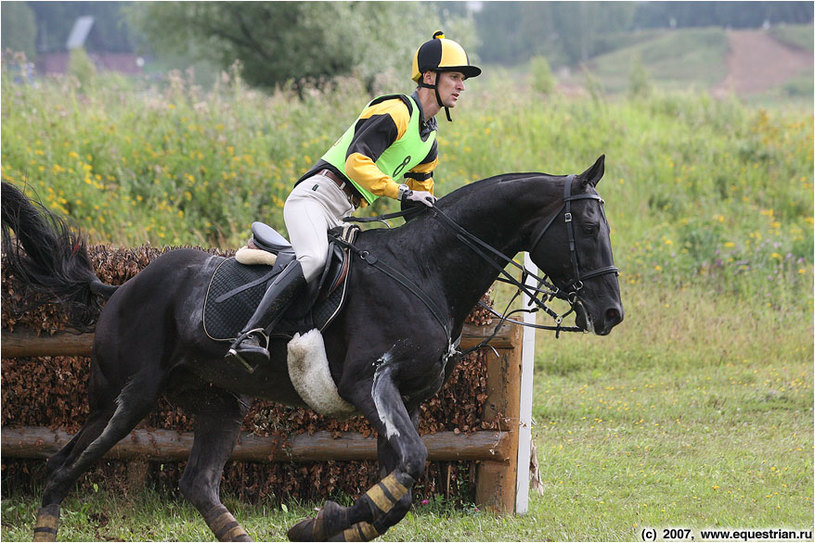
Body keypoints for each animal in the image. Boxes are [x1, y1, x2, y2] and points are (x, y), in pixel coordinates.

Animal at [1, 155, 624, 540]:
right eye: (590, 227)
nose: (612, 314)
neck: (423, 271)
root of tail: (119, 287)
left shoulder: (403, 402)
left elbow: (396, 489)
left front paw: (321, 525)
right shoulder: (370, 382)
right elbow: (410, 469)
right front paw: (319, 523)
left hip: (219, 403)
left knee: (197, 482)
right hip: (124, 399)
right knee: (60, 467)